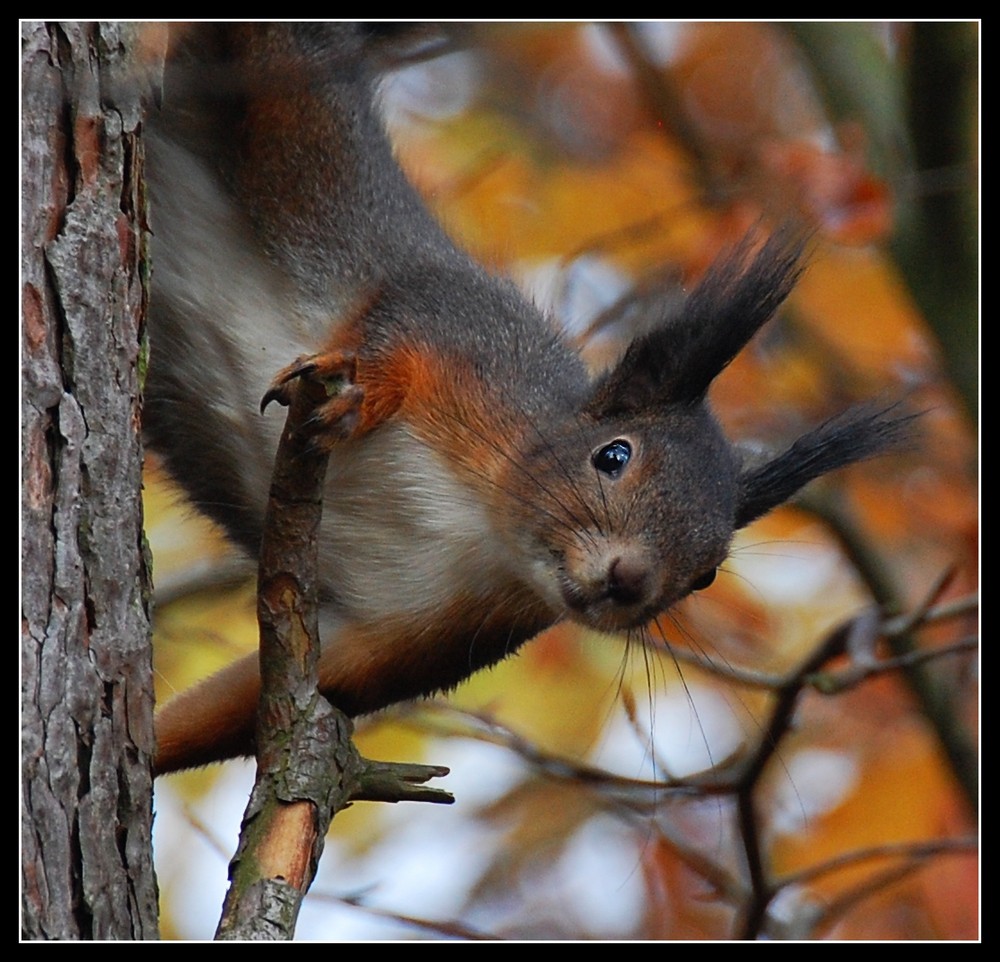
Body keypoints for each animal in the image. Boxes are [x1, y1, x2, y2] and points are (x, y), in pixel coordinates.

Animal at [146, 22, 908, 772]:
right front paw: (363, 394)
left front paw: (145, 747)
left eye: (707, 576)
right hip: (291, 118)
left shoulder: (407, 639)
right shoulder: (459, 326)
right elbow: (394, 333)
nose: (630, 579)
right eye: (612, 456)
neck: (486, 533)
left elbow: (236, 709)